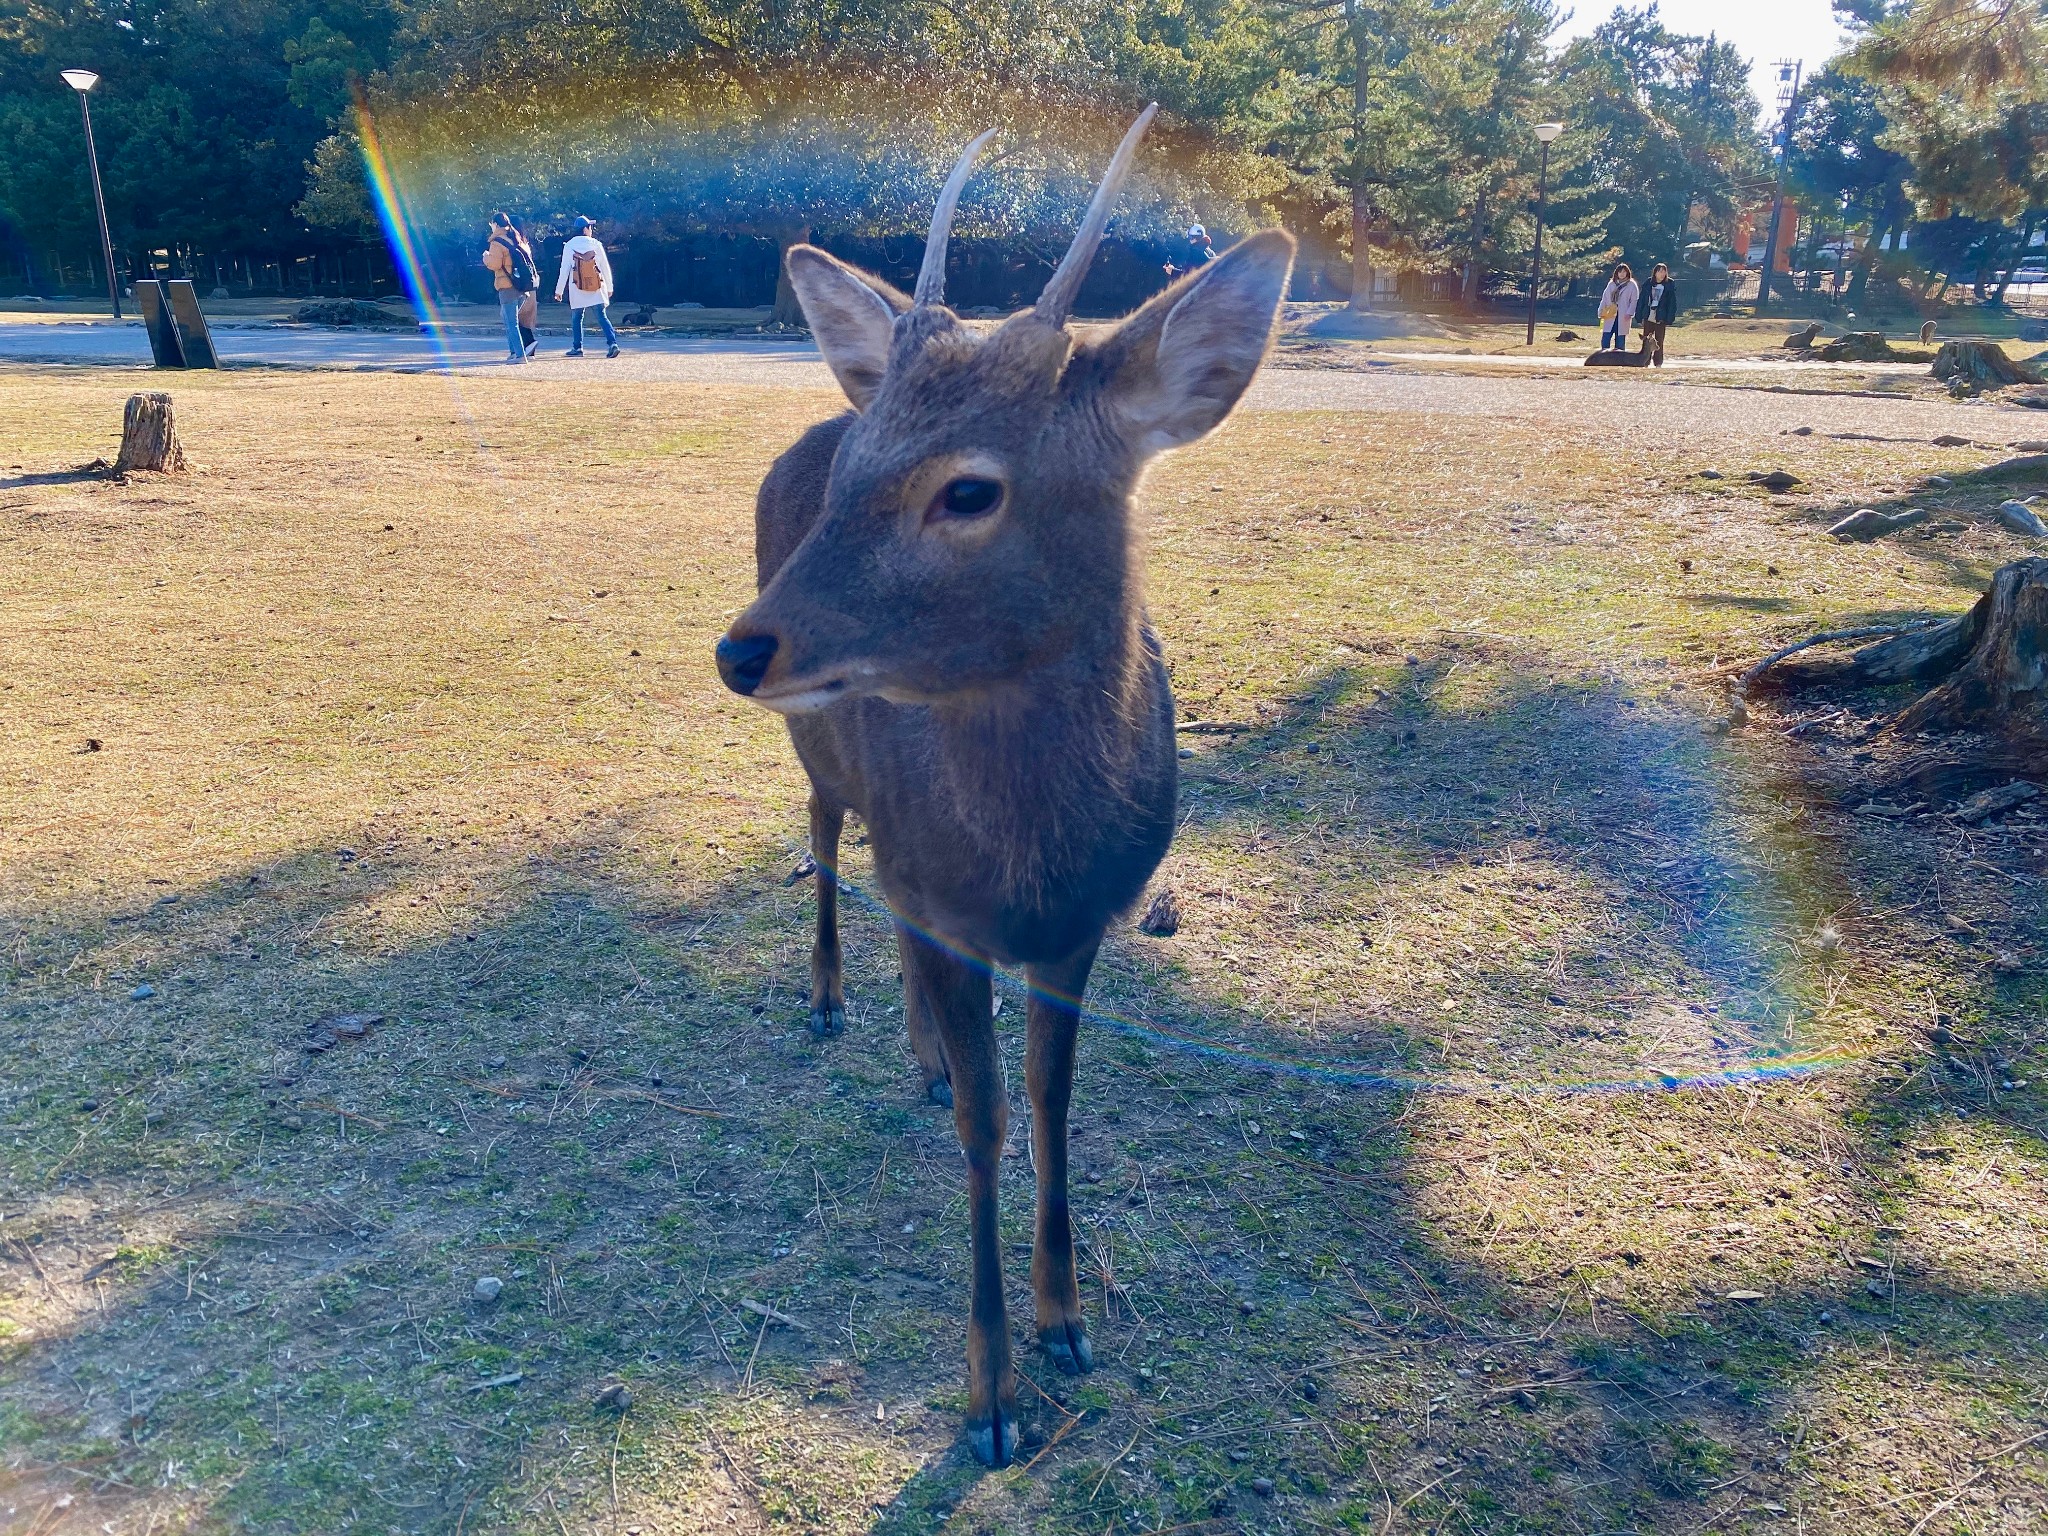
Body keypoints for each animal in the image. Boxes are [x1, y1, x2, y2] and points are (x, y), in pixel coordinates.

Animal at [720, 108, 1294, 1466]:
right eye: (854, 479)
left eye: (968, 488)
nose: (740, 649)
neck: (1031, 861)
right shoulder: (949, 901)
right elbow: (985, 1125)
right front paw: (988, 1397)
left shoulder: (1081, 922)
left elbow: (1048, 1095)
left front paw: (1065, 1322)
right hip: (823, 758)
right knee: (827, 836)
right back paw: (830, 1002)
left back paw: (920, 1049)